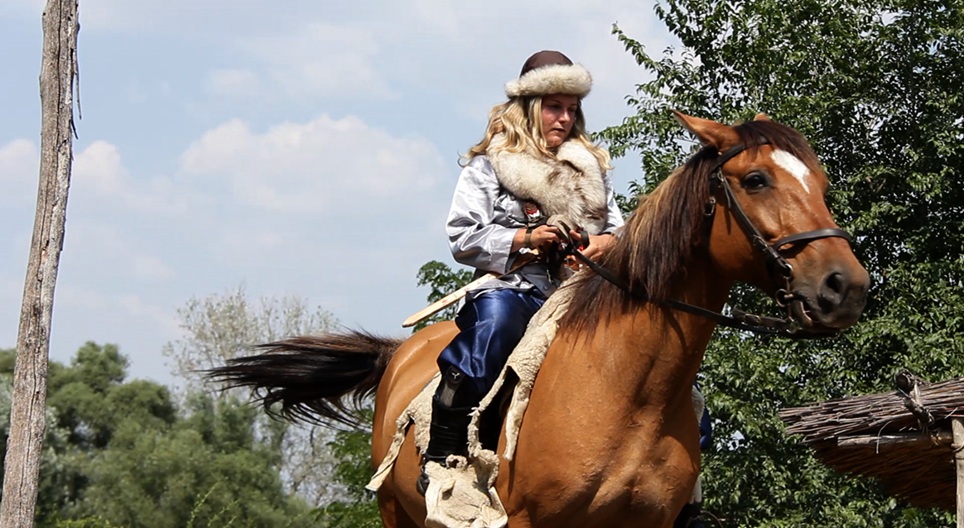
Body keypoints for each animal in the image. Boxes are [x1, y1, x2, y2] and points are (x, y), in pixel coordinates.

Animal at [209, 112, 869, 528]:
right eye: (755, 179)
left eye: (822, 182)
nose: (847, 286)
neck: (626, 390)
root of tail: (397, 355)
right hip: (397, 514)